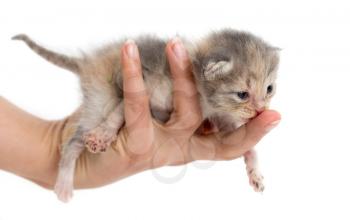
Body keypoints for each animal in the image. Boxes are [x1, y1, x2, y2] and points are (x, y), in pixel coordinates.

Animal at [13, 28, 278, 202]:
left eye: (269, 89)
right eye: (242, 94)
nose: (260, 110)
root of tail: (88, 62)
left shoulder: (221, 117)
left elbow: (248, 147)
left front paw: (255, 172)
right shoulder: (143, 85)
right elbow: (119, 112)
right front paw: (104, 134)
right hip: (101, 98)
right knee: (72, 141)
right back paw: (65, 183)